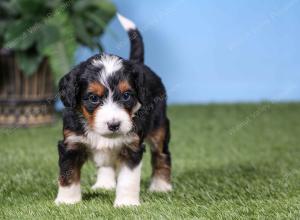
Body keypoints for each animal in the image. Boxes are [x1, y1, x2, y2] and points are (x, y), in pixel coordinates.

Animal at [54, 13, 171, 206]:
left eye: (126, 96)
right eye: (93, 98)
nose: (114, 125)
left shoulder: (132, 147)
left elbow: (128, 179)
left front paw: (126, 204)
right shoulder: (71, 143)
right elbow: (68, 174)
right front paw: (67, 202)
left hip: (159, 127)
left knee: (162, 154)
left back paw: (161, 186)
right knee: (106, 162)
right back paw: (104, 185)